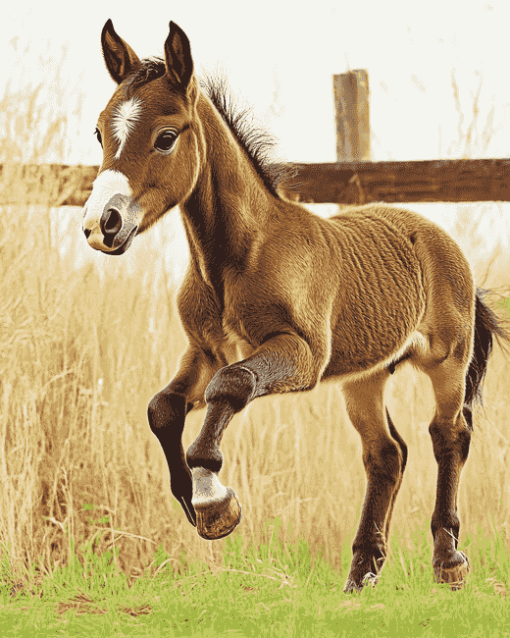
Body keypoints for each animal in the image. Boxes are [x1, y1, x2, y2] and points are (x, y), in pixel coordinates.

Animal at [82, 18, 506, 596]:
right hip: (364, 378)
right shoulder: (204, 351)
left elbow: (231, 385)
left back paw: (447, 559)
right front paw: (195, 502)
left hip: (448, 360)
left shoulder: (300, 355)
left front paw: (213, 499)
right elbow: (163, 407)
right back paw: (361, 573)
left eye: (166, 137)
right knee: (386, 454)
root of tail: (438, 236)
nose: (101, 225)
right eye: (100, 133)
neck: (240, 256)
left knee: (448, 436)